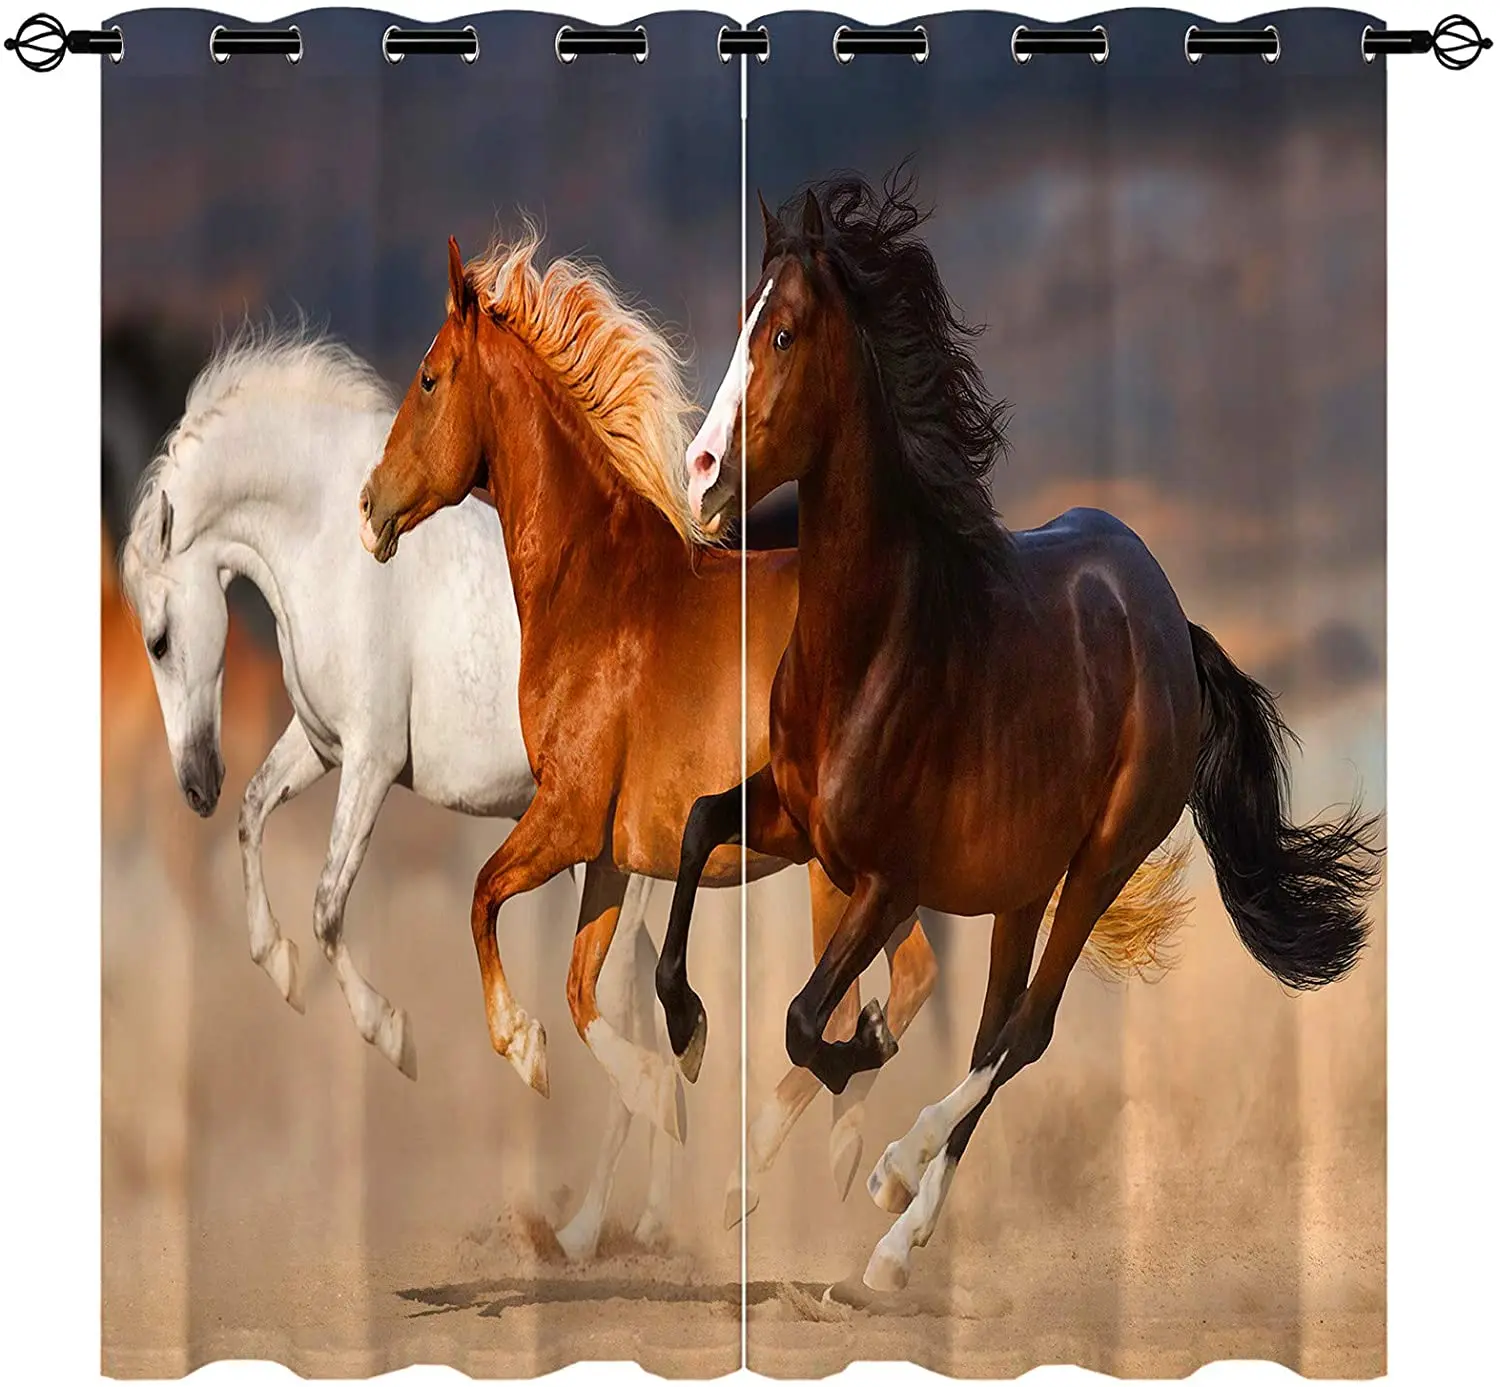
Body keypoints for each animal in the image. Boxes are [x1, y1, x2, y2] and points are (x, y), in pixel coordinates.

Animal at [117, 327, 672, 1260]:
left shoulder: (372, 763)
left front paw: (395, 1036)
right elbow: (253, 822)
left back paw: (585, 1226)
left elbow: (328, 906)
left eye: (157, 638)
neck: (325, 542)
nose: (192, 784)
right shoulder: (320, 746)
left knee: (628, 1021)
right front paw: (279, 968)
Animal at [356, 230, 1190, 1225]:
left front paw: (533, 1053)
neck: (600, 588)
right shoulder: (608, 850)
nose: (369, 506)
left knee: (923, 997)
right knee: (927, 996)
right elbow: (584, 987)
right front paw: (665, 1082)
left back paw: (810, 1161)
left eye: (429, 378)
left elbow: (485, 898)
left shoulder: (564, 818)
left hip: (871, 873)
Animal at [658, 171, 1383, 1291]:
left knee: (1027, 1032)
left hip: (1099, 863)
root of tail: (1168, 621)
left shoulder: (890, 879)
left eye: (781, 332)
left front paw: (865, 1058)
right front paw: (690, 1029)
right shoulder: (795, 818)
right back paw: (893, 1243)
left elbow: (803, 1021)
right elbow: (698, 827)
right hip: (1019, 887)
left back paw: (898, 1188)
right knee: (997, 1029)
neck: (876, 647)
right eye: (743, 317)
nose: (700, 477)